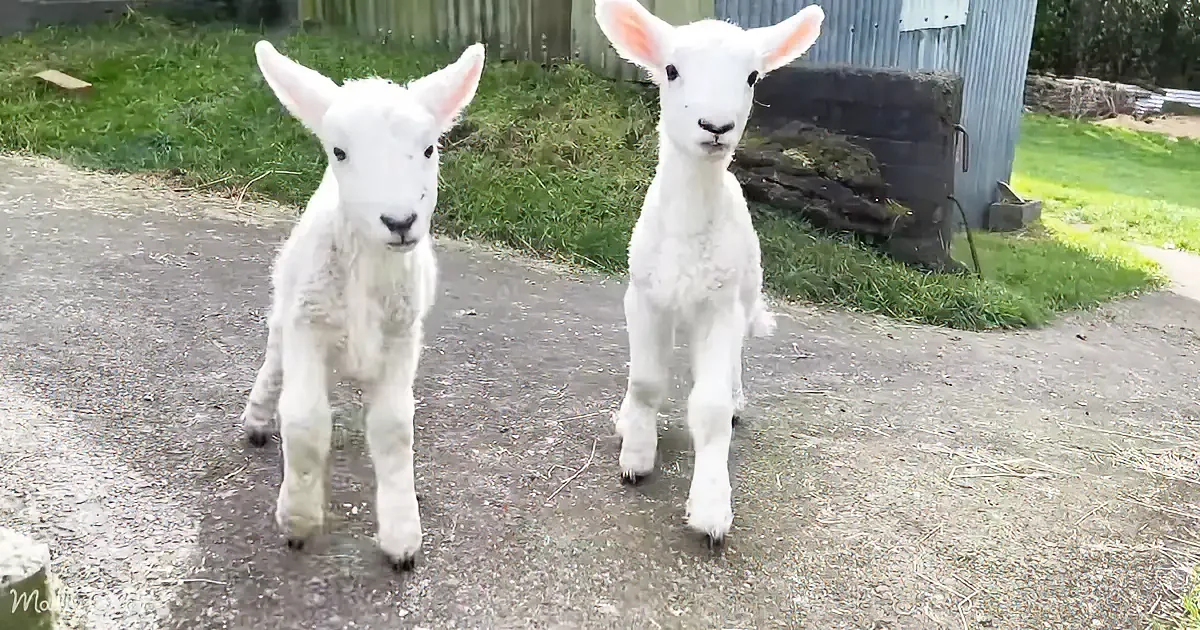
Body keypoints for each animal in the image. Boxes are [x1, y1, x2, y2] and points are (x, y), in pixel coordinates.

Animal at [238, 39, 486, 570]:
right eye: (339, 151)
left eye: (430, 148)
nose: (400, 221)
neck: (368, 265)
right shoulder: (307, 325)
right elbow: (305, 423)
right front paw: (298, 520)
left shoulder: (401, 336)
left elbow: (392, 429)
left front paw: (401, 536)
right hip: (287, 302)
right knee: (273, 359)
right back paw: (257, 418)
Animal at [593, 0, 824, 542]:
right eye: (671, 70)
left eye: (753, 76)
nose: (715, 125)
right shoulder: (643, 295)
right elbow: (646, 382)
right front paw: (636, 456)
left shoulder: (720, 305)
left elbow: (711, 408)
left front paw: (711, 509)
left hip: (744, 289)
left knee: (731, 367)